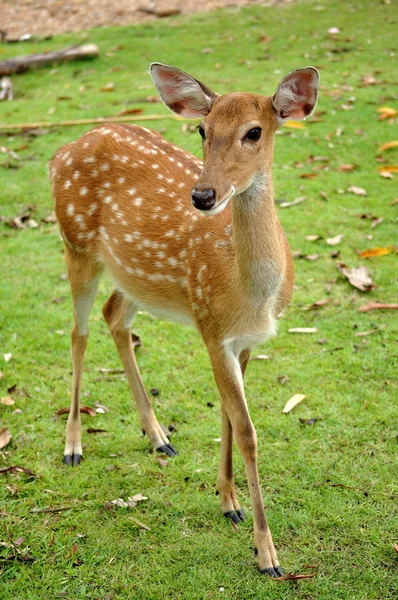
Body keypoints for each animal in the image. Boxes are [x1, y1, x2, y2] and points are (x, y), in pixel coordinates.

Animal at [49, 62, 320, 576]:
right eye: (202, 130)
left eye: (254, 131)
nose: (203, 194)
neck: (250, 295)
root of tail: (61, 151)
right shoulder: (210, 327)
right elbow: (248, 432)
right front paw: (267, 554)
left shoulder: (244, 340)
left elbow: (230, 420)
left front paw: (228, 501)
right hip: (76, 244)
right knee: (77, 331)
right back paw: (73, 445)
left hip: (132, 278)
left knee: (115, 317)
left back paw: (158, 436)